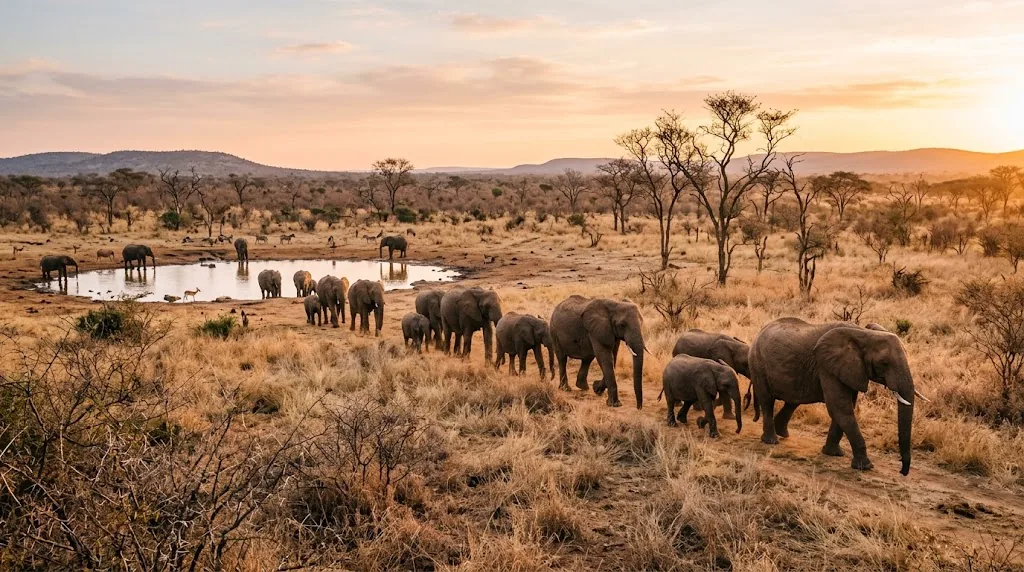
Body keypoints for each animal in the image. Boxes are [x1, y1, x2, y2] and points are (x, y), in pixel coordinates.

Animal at [749, 318, 921, 475]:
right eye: (884, 363)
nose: (902, 472)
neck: (864, 333)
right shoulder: (827, 366)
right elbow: (840, 408)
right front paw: (864, 466)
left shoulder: (849, 369)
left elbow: (845, 408)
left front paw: (833, 454)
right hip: (757, 364)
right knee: (767, 401)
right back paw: (771, 440)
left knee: (792, 402)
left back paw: (782, 433)